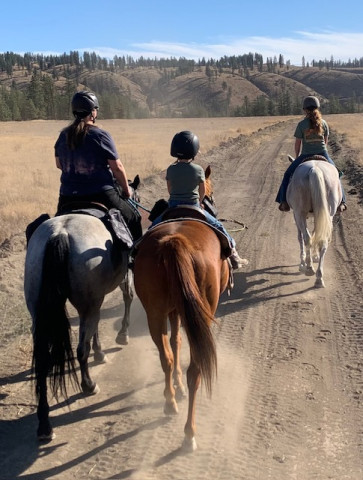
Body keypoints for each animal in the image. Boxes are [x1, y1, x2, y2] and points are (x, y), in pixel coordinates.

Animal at [24, 175, 141, 438]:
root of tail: (60, 233)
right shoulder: (122, 278)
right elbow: (128, 297)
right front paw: (122, 335)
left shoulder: (95, 299)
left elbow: (94, 330)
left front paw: (100, 350)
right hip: (87, 304)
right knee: (80, 350)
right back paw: (88, 385)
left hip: (40, 310)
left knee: (43, 360)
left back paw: (44, 423)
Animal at [134, 168, 230, 450]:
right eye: (210, 189)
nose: (212, 199)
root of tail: (174, 242)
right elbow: (179, 344)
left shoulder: (174, 311)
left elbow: (175, 342)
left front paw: (175, 385)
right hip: (202, 312)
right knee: (195, 370)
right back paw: (190, 433)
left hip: (154, 313)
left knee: (164, 355)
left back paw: (170, 401)